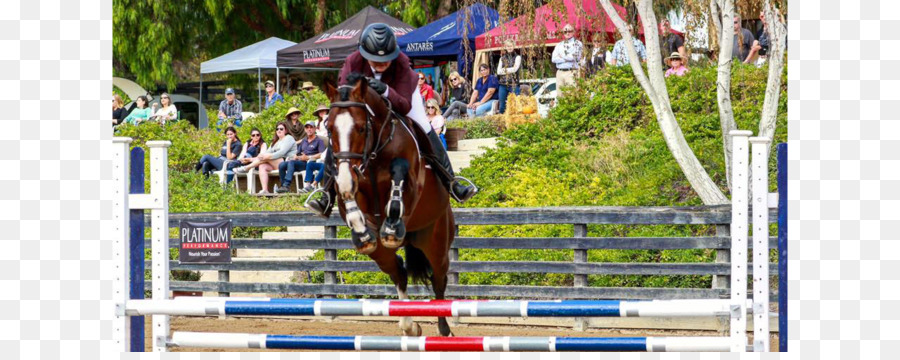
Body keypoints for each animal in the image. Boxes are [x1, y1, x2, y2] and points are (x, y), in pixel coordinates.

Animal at [322, 74, 458, 338]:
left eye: (361, 127)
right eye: (329, 128)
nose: (345, 176)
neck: (374, 151)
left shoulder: (411, 182)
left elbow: (399, 173)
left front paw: (392, 225)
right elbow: (350, 200)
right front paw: (362, 232)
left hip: (435, 241)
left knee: (438, 280)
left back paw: (444, 330)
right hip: (381, 254)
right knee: (399, 272)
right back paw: (410, 325)